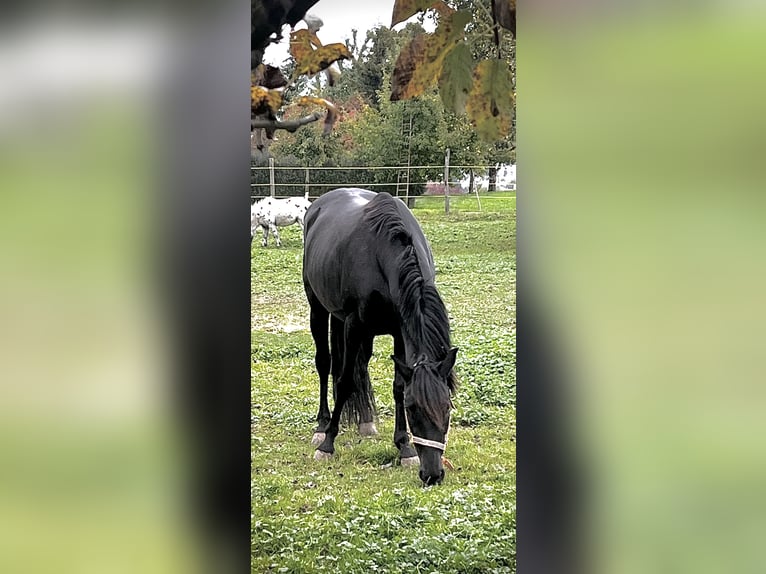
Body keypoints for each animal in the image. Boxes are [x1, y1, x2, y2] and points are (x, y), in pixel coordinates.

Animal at [302, 188, 458, 486]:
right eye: (412, 409)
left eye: (447, 407)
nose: (433, 475)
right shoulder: (354, 324)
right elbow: (345, 381)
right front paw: (327, 444)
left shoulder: (399, 329)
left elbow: (396, 385)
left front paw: (405, 448)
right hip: (319, 308)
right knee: (326, 364)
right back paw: (322, 424)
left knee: (360, 366)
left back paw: (365, 421)